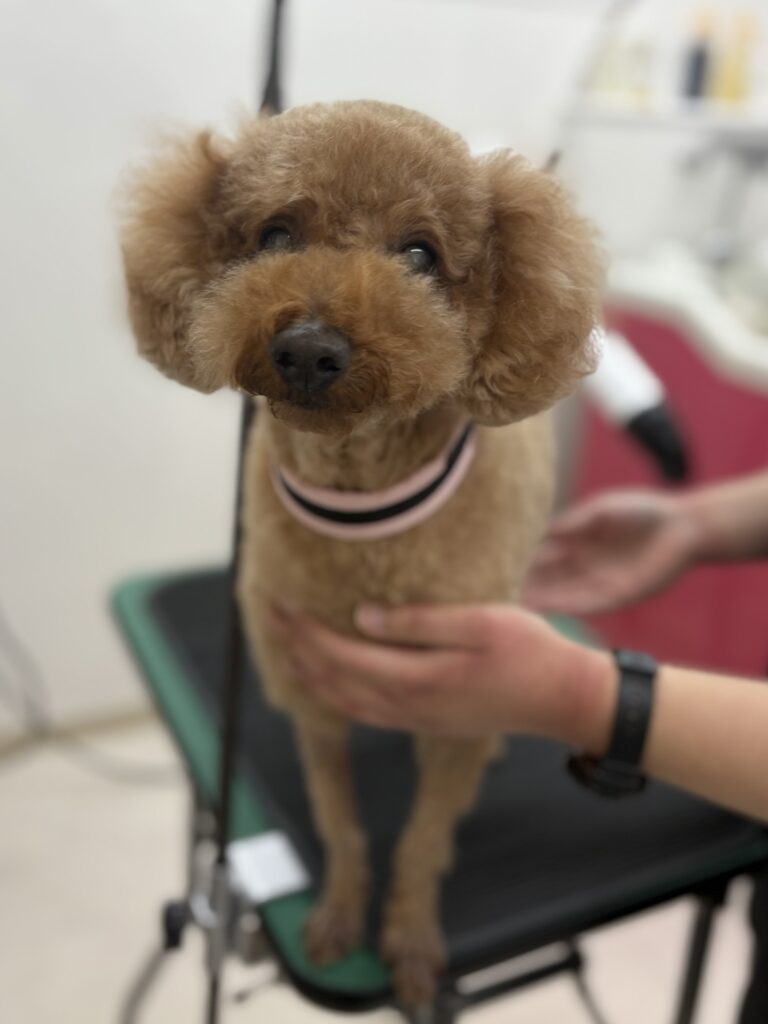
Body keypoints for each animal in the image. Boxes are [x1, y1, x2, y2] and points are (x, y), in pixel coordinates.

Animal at [120, 100, 601, 1008]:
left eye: (419, 253)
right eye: (275, 234)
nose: (310, 347)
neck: (363, 505)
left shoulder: (457, 699)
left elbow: (421, 839)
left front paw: (409, 940)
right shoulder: (309, 694)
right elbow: (341, 825)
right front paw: (342, 915)